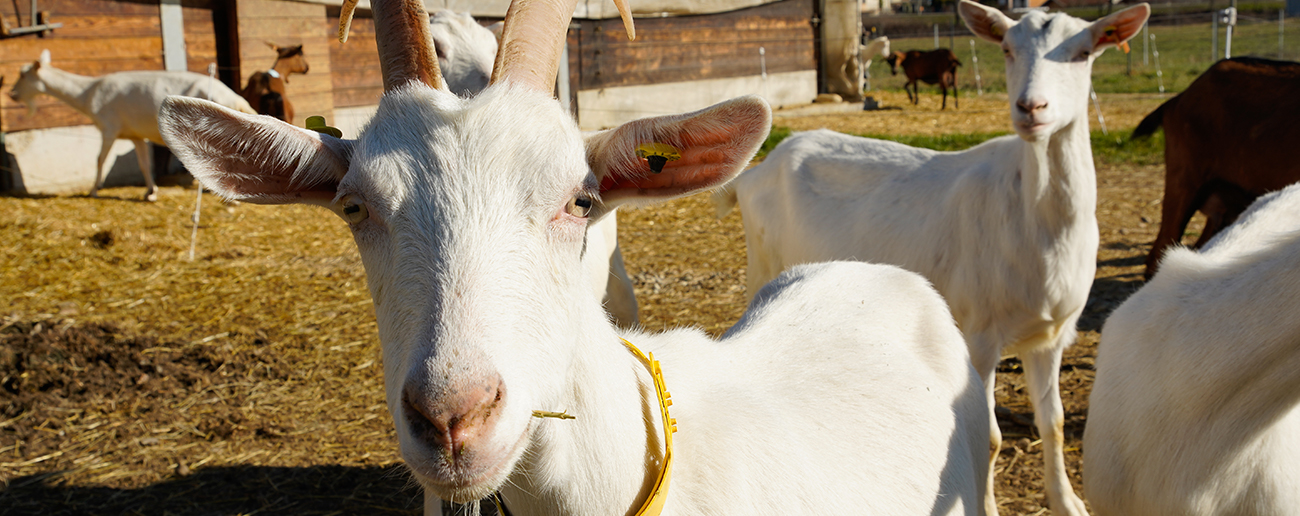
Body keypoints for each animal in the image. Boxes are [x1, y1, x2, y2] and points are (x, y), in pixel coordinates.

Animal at [7, 48, 254, 201]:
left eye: (23, 75)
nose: (11, 94)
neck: (87, 94)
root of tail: (236, 99)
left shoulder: (108, 127)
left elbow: (100, 159)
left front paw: (94, 190)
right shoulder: (135, 134)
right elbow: (144, 164)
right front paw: (150, 192)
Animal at [717, 2, 1154, 512]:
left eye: (1084, 52)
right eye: (1007, 48)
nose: (1031, 109)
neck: (1036, 224)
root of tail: (760, 167)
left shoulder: (1052, 335)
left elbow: (1056, 423)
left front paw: (1069, 502)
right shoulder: (980, 335)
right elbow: (989, 437)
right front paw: (988, 505)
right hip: (762, 263)